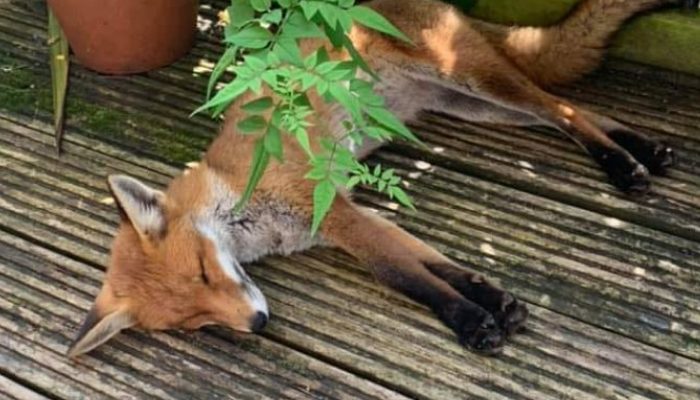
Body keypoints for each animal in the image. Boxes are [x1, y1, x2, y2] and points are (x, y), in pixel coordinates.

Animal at [68, 0, 700, 357]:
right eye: (193, 321)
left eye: (203, 271)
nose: (259, 322)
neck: (240, 204)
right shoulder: (344, 219)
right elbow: (431, 263)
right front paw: (490, 301)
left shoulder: (332, 210)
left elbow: (405, 275)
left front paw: (472, 323)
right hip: (472, 105)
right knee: (571, 111)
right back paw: (642, 151)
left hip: (468, 78)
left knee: (563, 109)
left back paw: (625, 165)